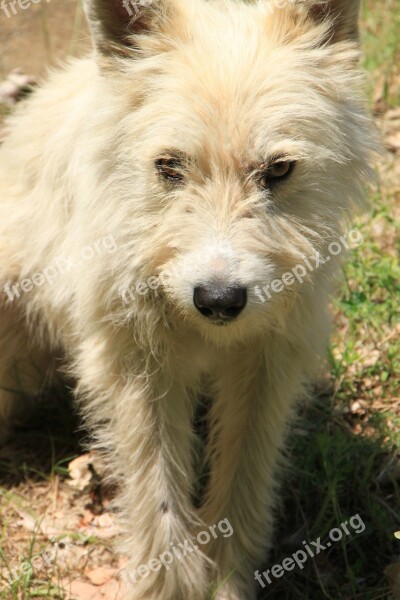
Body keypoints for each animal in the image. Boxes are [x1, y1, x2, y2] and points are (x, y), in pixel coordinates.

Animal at [0, 1, 376, 600]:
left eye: (278, 169)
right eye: (169, 166)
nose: (218, 299)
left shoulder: (266, 362)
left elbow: (243, 474)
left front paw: (226, 576)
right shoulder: (137, 366)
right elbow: (157, 491)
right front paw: (170, 586)